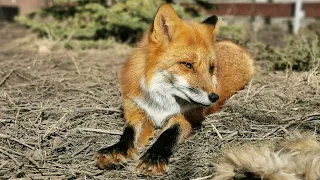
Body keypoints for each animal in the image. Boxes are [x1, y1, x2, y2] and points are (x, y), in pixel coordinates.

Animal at [94, 3, 254, 176]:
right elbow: (129, 133)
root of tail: (232, 44)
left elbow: (168, 135)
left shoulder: (185, 118)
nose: (214, 97)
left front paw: (154, 156)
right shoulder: (137, 111)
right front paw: (116, 150)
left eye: (211, 68)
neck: (160, 101)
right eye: (187, 65)